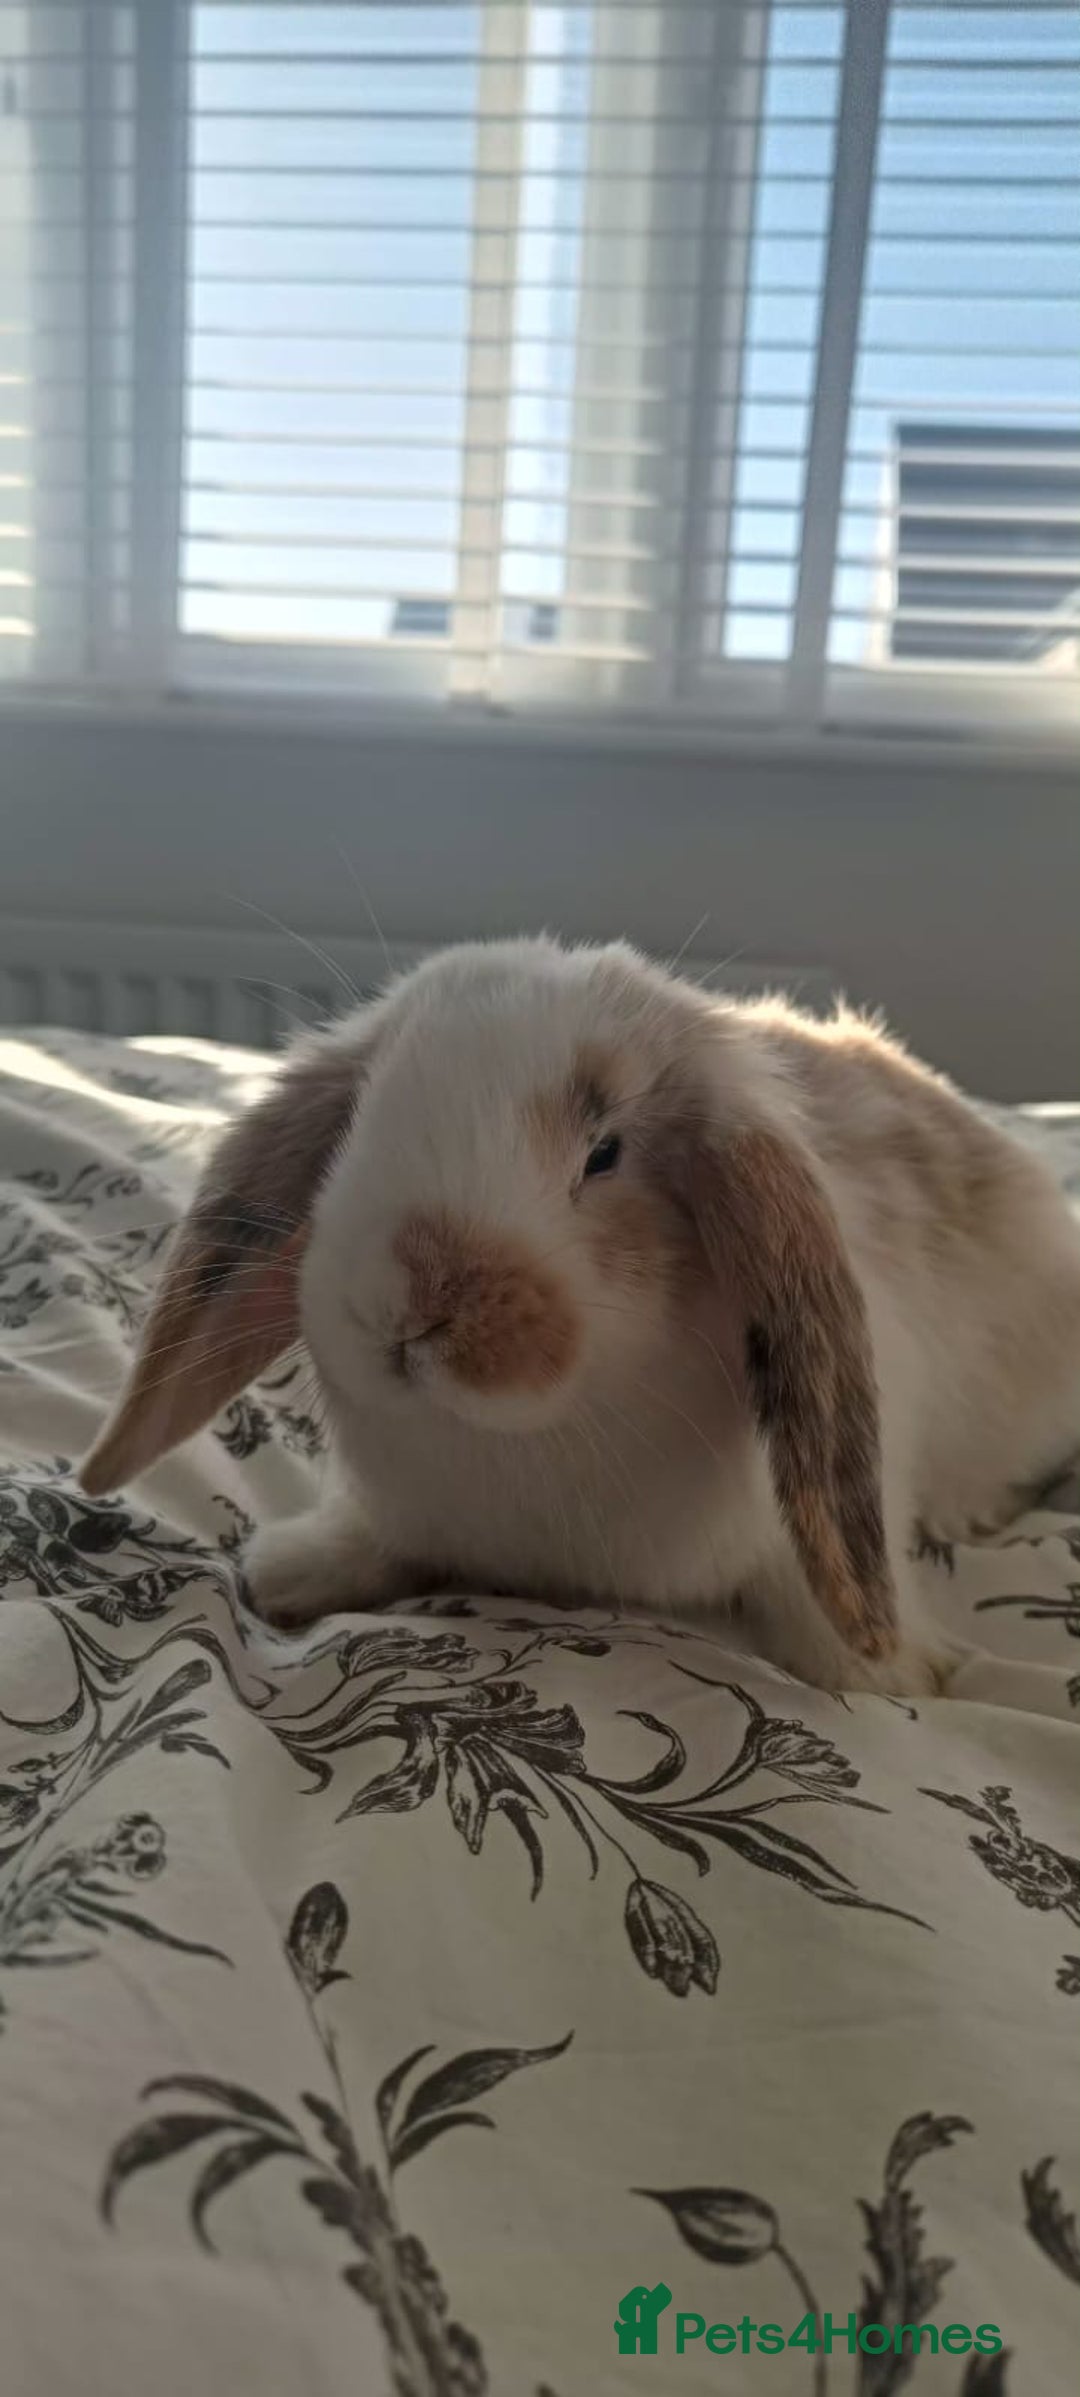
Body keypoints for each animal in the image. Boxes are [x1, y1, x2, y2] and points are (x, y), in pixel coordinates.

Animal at [79, 936, 1080, 1695]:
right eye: (359, 1119)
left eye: (605, 1154)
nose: (406, 1306)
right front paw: (292, 1572)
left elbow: (817, 1599)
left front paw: (885, 1672)